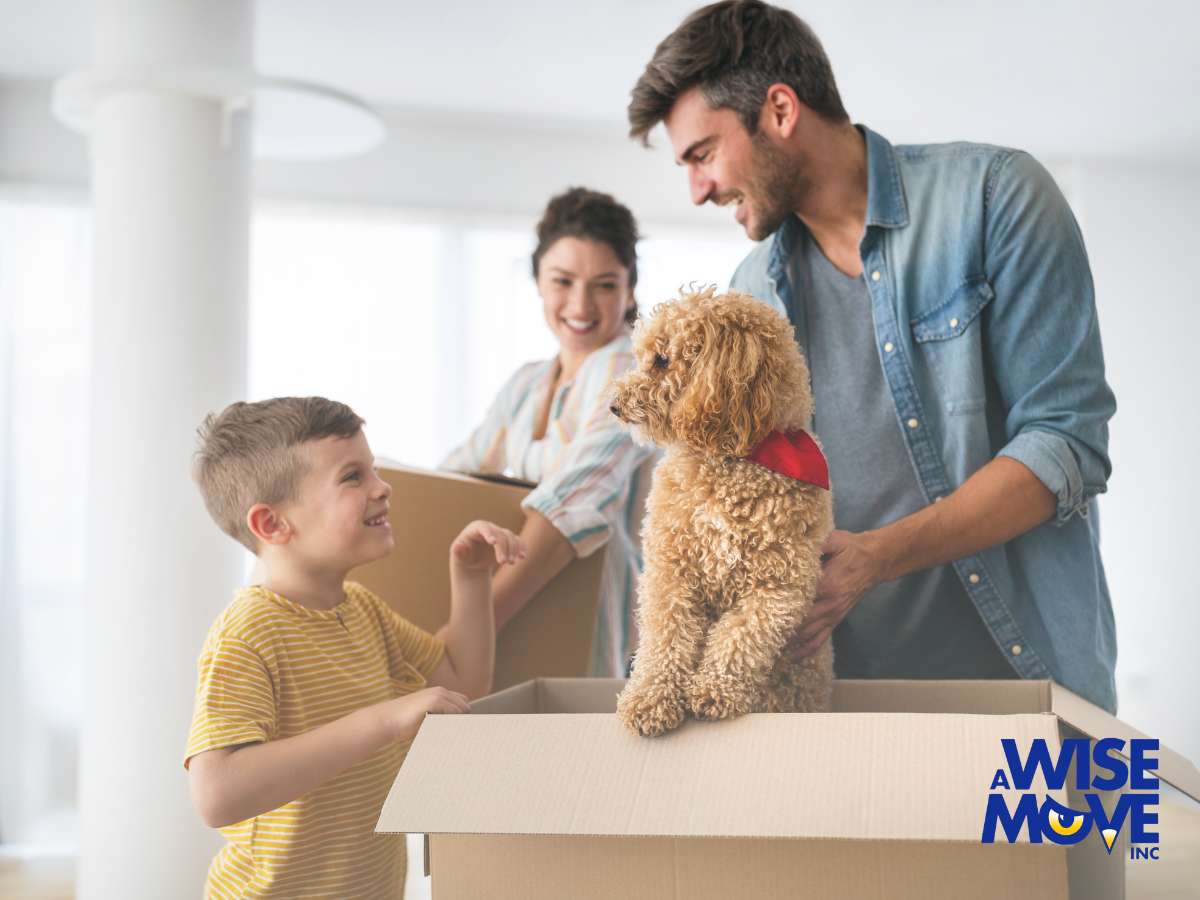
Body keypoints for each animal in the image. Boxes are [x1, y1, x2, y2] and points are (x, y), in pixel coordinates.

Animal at [614, 289, 830, 739]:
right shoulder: (670, 573)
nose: (613, 405)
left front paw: (714, 690)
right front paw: (649, 699)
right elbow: (665, 639)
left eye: (662, 360)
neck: (733, 460)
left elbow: (740, 636)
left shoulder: (778, 587)